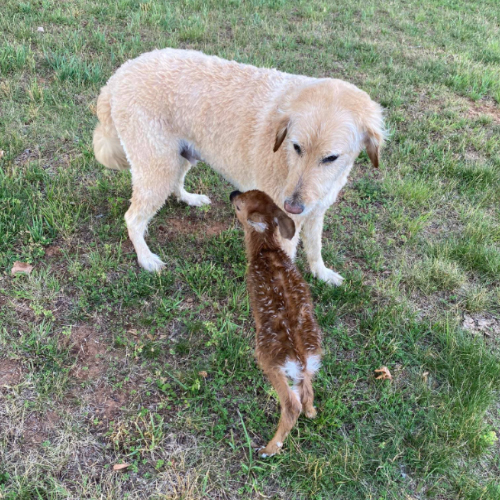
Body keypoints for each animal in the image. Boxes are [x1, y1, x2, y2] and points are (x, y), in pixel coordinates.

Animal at [93, 50, 382, 286]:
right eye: (297, 147)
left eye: (331, 157)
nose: (292, 206)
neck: (285, 157)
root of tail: (118, 75)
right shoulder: (284, 226)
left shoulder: (315, 212)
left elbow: (315, 249)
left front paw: (322, 274)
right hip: (158, 166)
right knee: (132, 218)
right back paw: (146, 258)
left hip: (180, 156)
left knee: (174, 185)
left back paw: (189, 198)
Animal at [231, 188, 324, 458]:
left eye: (239, 206)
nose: (232, 193)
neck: (266, 250)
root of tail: (301, 358)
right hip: (305, 366)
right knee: (307, 391)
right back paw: (312, 412)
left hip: (268, 358)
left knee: (292, 404)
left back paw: (268, 449)